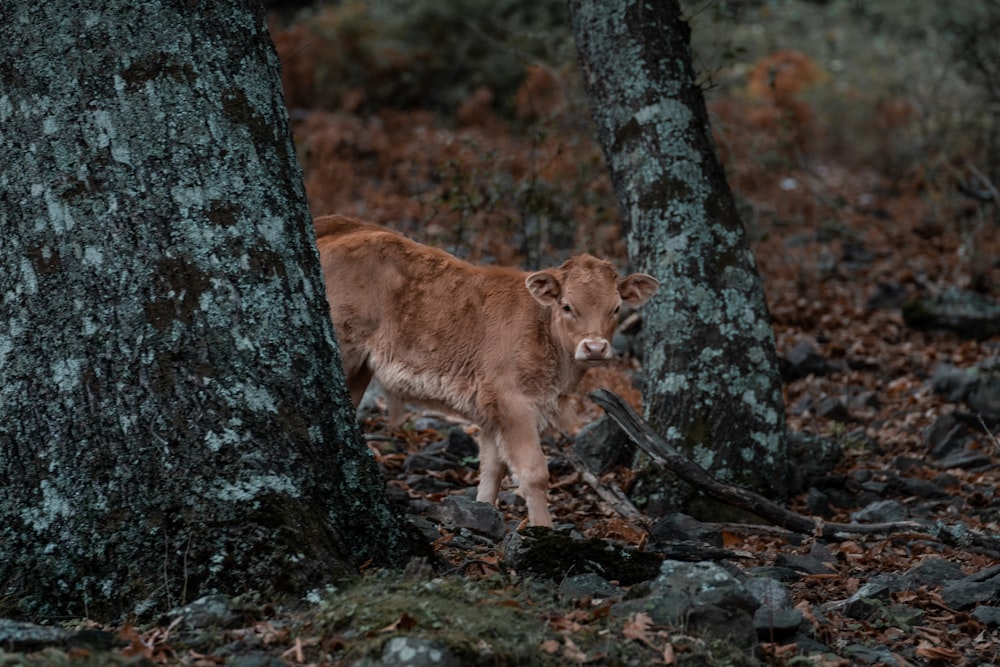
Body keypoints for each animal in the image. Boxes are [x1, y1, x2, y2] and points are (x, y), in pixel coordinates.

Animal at [312, 217, 656, 528]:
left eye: (616, 308)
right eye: (567, 306)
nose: (595, 347)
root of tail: (341, 224)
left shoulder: (490, 407)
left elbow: (493, 468)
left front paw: (483, 513)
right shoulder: (512, 401)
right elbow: (533, 472)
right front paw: (543, 529)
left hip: (359, 368)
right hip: (345, 351)